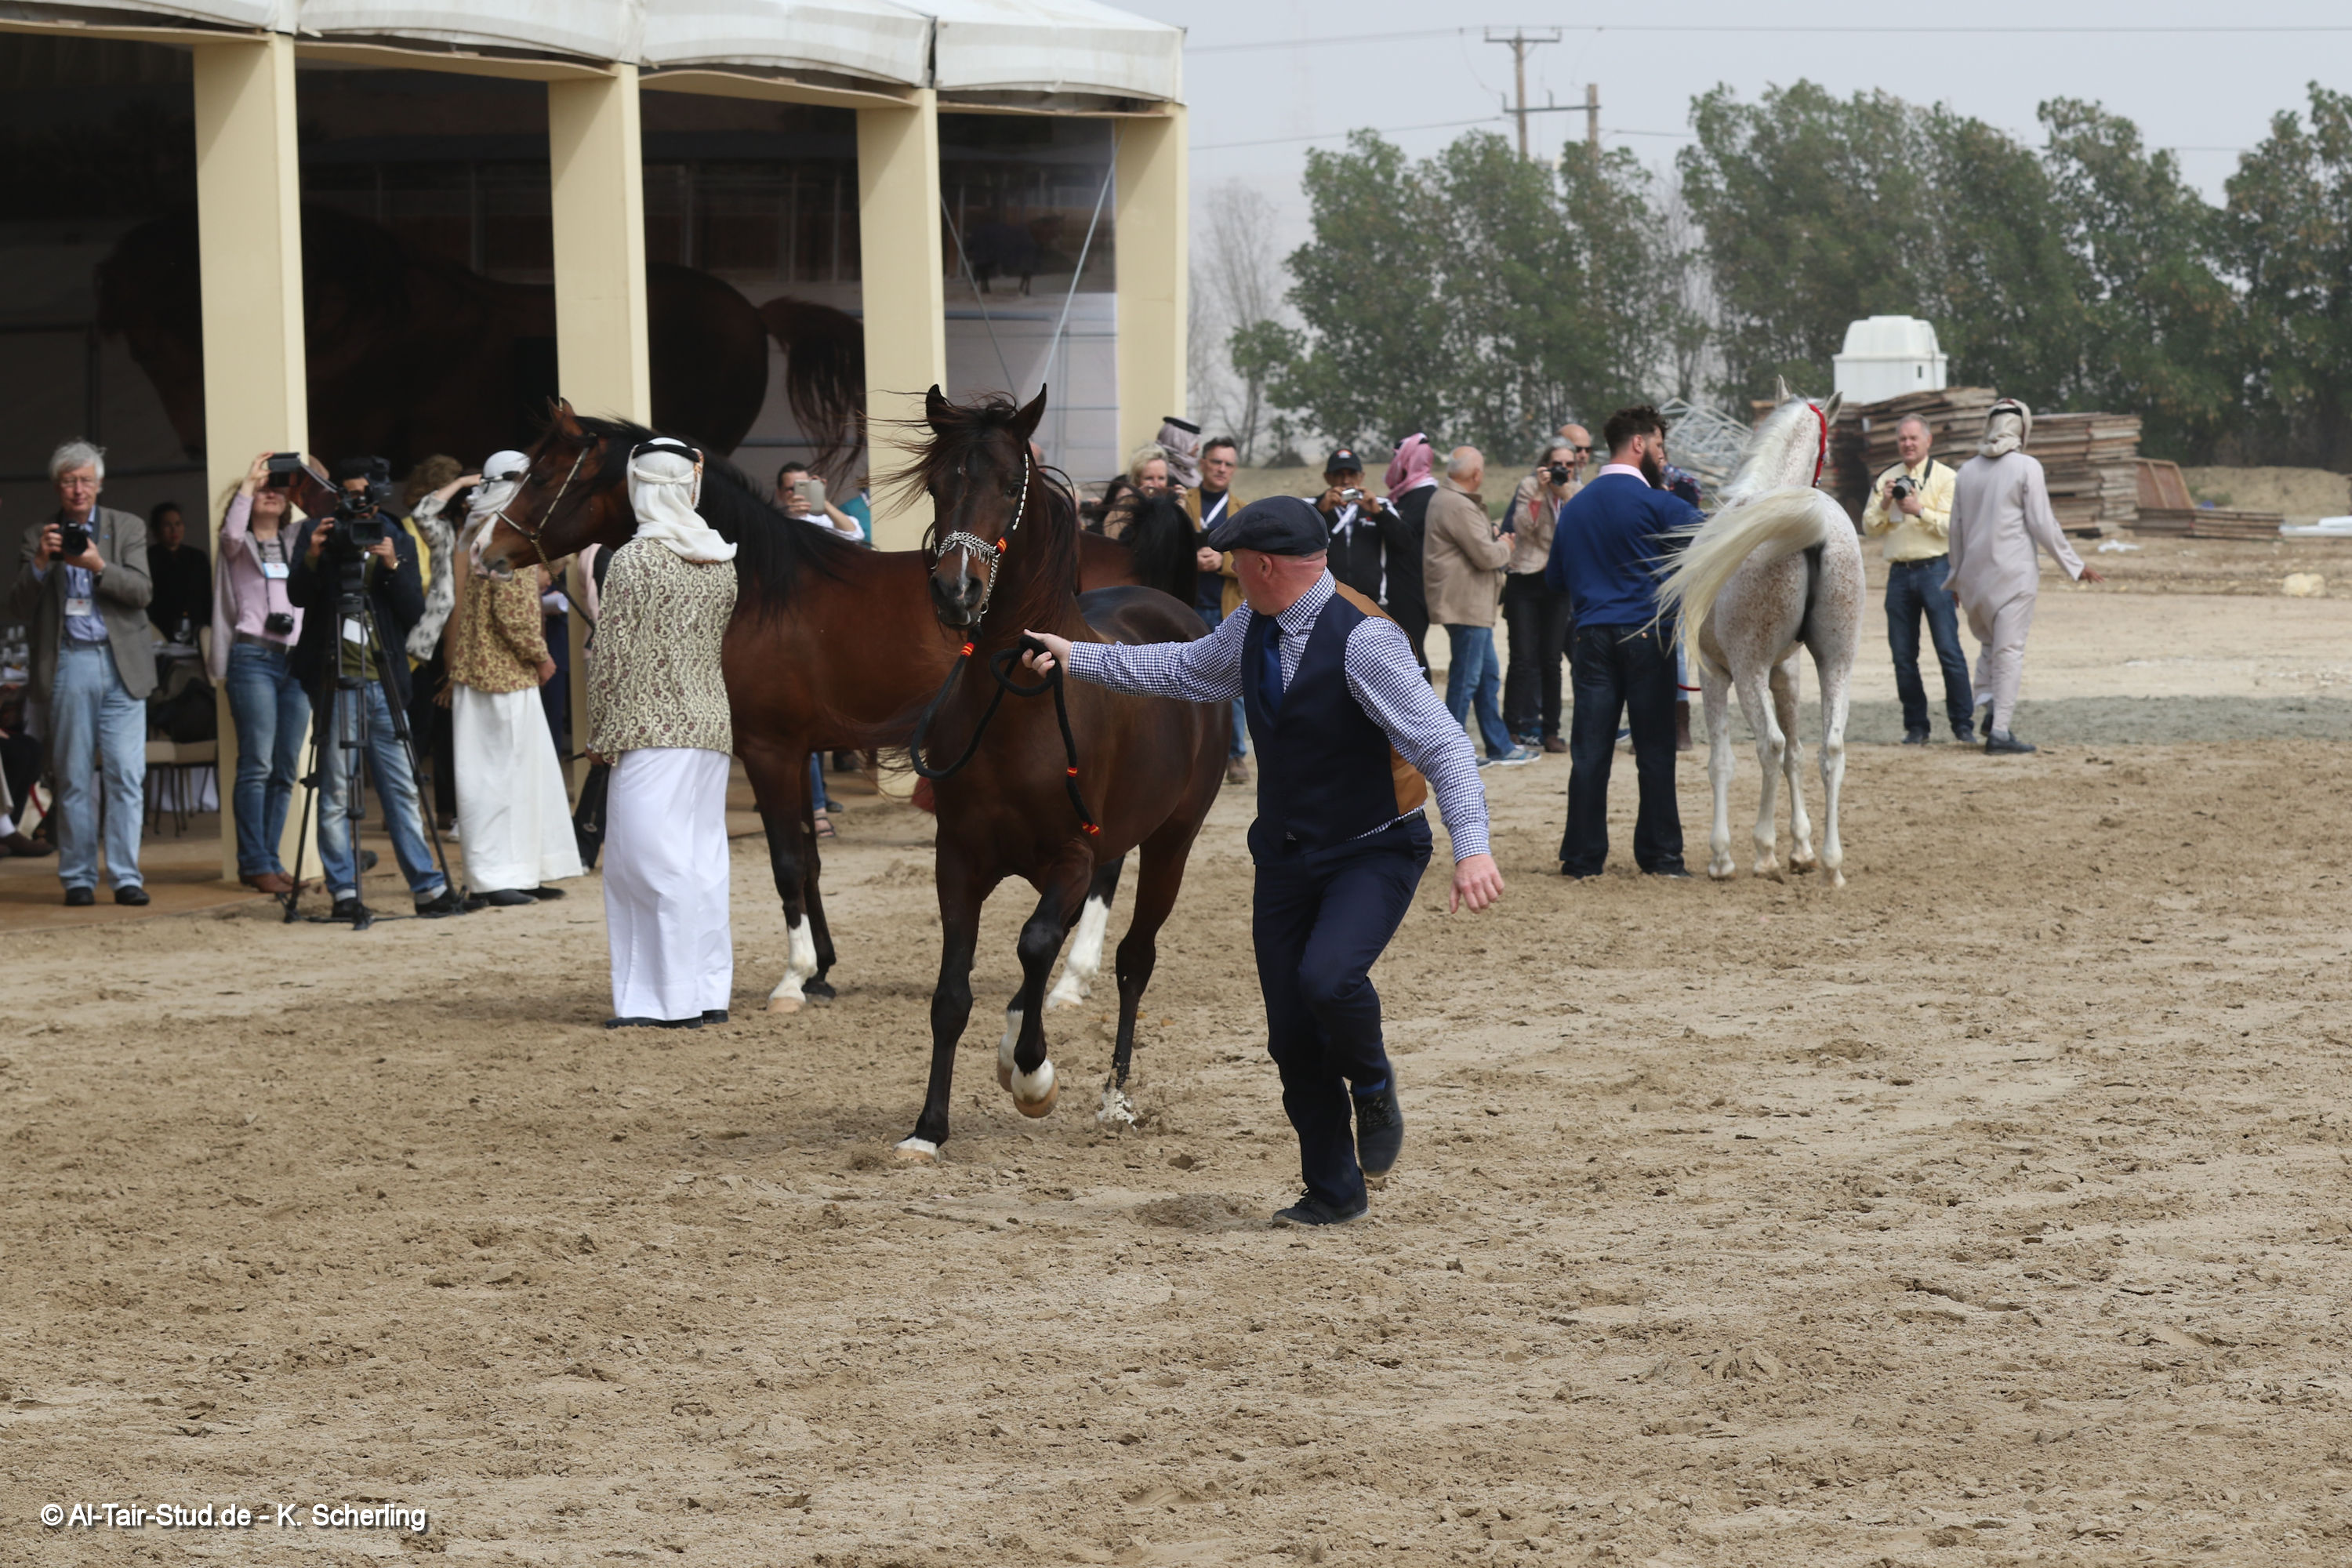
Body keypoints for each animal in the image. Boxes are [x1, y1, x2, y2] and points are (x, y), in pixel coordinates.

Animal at [480, 401, 1163, 1011]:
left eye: (542, 476)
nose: (487, 552)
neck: (758, 588)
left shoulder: (770, 750)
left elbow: (787, 861)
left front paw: (795, 976)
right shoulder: (797, 750)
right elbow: (809, 860)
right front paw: (823, 970)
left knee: (1106, 864)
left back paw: (1070, 980)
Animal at [895, 385, 1225, 1160]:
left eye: (1008, 486)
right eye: (938, 484)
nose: (956, 593)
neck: (1017, 702)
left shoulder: (1072, 853)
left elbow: (1035, 941)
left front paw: (1034, 1076)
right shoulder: (959, 858)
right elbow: (953, 993)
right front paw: (929, 1130)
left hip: (1171, 842)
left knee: (1134, 957)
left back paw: (1113, 1098)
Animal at [1655, 379, 1861, 886]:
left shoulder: (1715, 674)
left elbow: (1723, 762)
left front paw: (1722, 855)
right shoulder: (1787, 671)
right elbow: (1799, 755)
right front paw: (1802, 849)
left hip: (1747, 671)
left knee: (1769, 745)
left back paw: (1762, 853)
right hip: (1836, 663)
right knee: (1829, 750)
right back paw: (1831, 863)